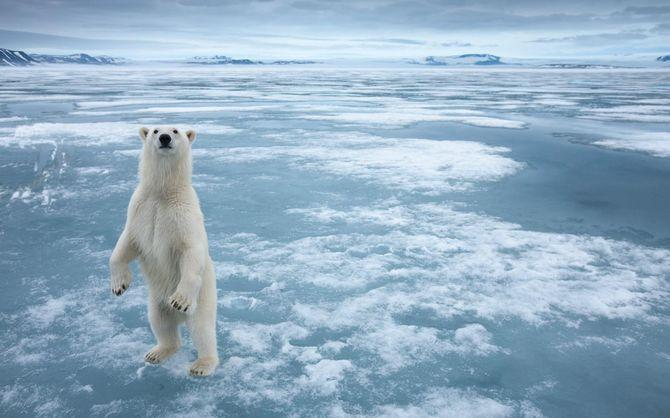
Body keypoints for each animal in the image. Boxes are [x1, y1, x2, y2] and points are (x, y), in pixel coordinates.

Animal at [107, 125, 218, 378]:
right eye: (155, 130)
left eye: (175, 130)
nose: (165, 138)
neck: (163, 192)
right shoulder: (140, 210)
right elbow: (125, 244)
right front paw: (119, 285)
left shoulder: (184, 215)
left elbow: (191, 251)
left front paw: (179, 300)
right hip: (156, 301)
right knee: (160, 323)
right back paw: (157, 352)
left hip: (203, 298)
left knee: (202, 329)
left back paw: (202, 365)